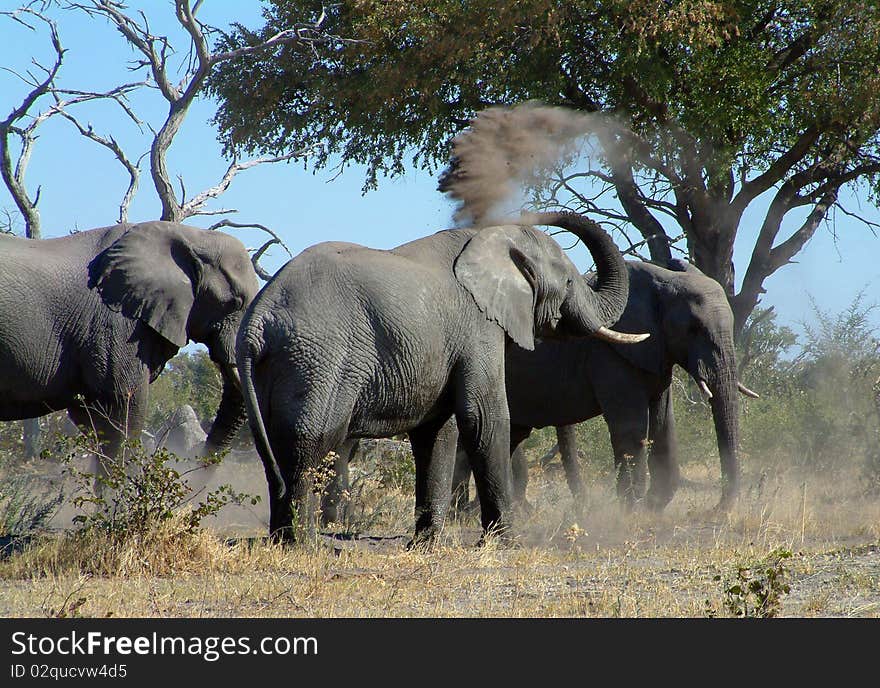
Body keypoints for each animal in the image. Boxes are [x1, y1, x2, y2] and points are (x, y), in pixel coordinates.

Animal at [235, 212, 648, 544]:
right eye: (568, 284)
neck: (494, 239)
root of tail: (259, 318)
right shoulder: (478, 327)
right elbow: (484, 417)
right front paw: (507, 543)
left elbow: (438, 431)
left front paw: (426, 545)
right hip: (320, 360)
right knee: (311, 443)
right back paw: (304, 546)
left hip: (275, 369)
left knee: (274, 450)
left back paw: (281, 542)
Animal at [450, 260, 760, 512]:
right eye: (693, 329)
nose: (714, 510)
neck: (663, 281)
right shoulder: (609, 354)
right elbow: (631, 428)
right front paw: (631, 513)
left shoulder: (657, 355)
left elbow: (664, 424)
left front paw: (652, 507)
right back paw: (462, 513)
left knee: (507, 435)